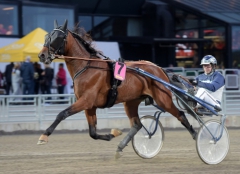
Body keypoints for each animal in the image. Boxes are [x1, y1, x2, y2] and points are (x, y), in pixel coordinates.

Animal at [36, 19, 196, 158]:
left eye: (57, 37)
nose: (42, 55)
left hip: (163, 99)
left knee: (181, 115)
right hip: (131, 102)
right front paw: (113, 133)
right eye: (47, 36)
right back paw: (120, 146)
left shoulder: (86, 101)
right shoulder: (90, 106)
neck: (87, 67)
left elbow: (62, 114)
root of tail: (159, 69)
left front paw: (44, 136)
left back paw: (197, 137)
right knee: (137, 125)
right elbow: (92, 133)